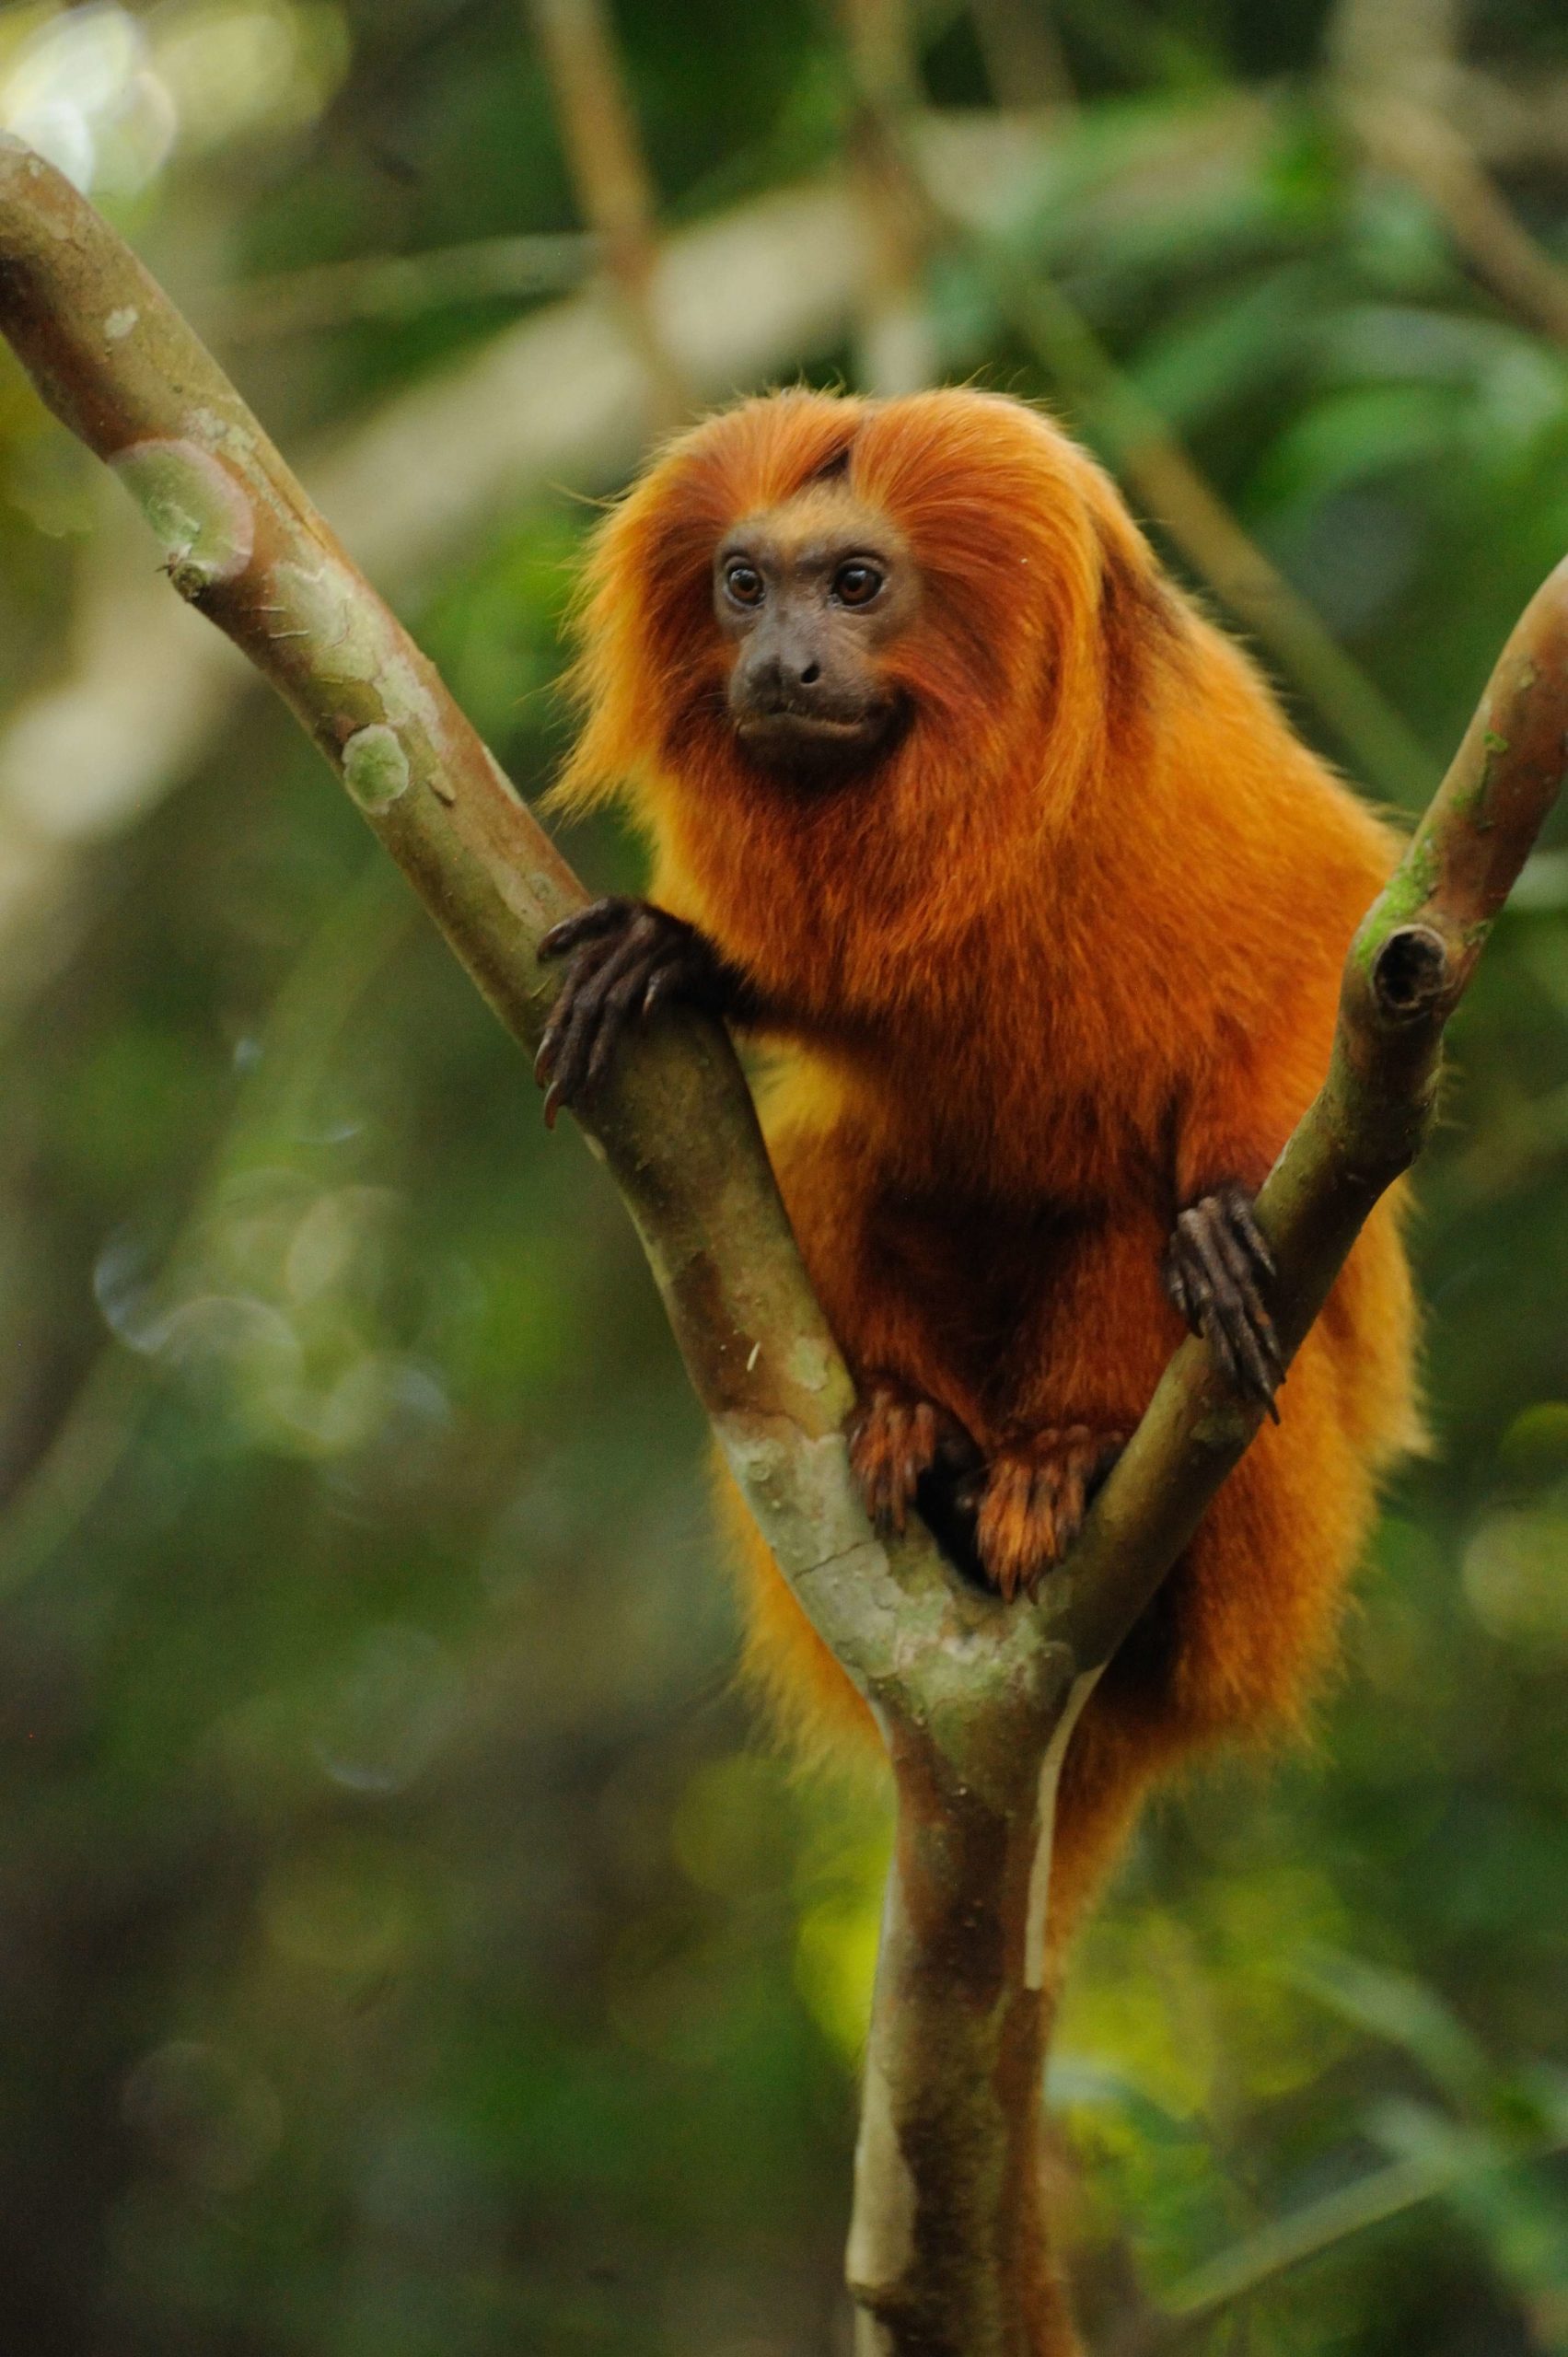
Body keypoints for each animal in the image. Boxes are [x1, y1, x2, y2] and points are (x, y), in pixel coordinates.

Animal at [534, 386, 1421, 1934]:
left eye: (854, 584)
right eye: (743, 584)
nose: (778, 660)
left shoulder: (1204, 780)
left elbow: (1313, 971)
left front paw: (1218, 1218)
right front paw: (672, 952)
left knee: (1135, 1226)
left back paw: (1056, 1464)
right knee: (839, 1159)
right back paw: (919, 1432)